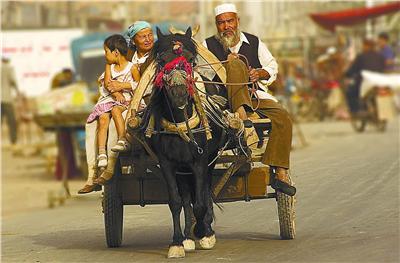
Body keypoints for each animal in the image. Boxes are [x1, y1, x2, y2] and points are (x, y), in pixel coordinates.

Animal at [143, 27, 228, 258]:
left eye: (190, 59)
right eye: (161, 60)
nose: (179, 94)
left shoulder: (199, 161)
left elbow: (200, 202)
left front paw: (204, 232)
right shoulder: (168, 163)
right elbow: (176, 202)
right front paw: (178, 242)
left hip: (209, 159)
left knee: (204, 191)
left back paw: (204, 229)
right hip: (182, 168)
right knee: (186, 197)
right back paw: (189, 236)